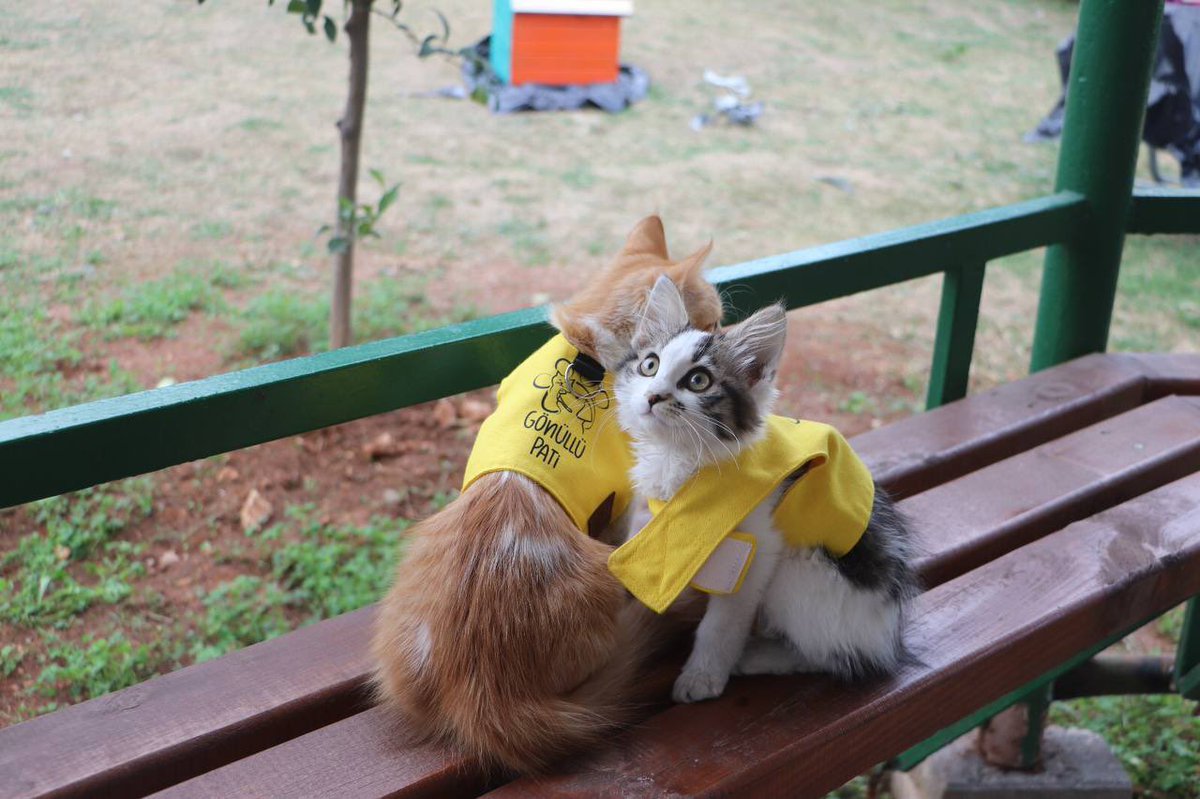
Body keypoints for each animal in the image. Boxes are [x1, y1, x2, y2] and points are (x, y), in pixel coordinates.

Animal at [614, 277, 912, 700]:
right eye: (649, 364)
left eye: (698, 381)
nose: (653, 396)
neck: (686, 455)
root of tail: (888, 636)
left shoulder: (755, 549)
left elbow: (721, 623)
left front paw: (702, 676)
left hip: (803, 570)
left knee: (835, 657)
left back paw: (759, 656)